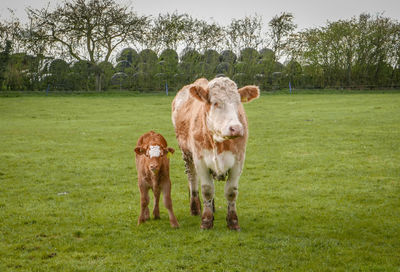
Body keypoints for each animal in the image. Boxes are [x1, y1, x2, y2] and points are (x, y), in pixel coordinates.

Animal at [171, 76, 260, 230]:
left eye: (238, 102)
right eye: (215, 102)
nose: (236, 128)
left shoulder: (238, 160)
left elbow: (231, 191)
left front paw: (233, 221)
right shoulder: (200, 159)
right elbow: (207, 189)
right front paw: (206, 220)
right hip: (187, 155)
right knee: (192, 180)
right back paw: (195, 208)